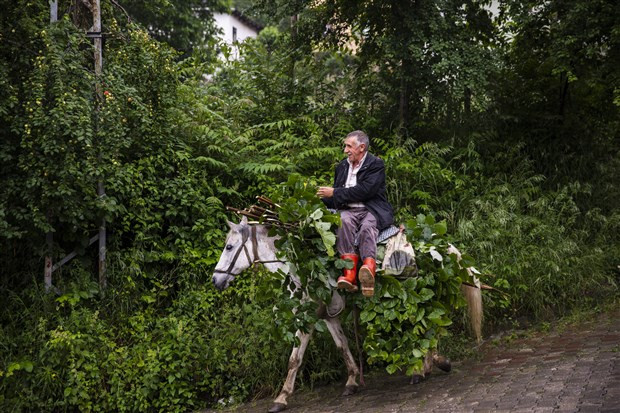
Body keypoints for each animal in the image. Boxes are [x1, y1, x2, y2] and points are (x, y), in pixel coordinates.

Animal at [213, 216, 484, 412]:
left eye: (229, 246)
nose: (216, 280)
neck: (299, 266)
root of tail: (437, 245)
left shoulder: (308, 317)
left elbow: (295, 359)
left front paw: (281, 398)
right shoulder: (328, 316)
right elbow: (342, 346)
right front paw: (352, 381)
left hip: (419, 295)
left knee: (429, 327)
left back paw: (424, 369)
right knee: (428, 329)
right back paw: (429, 366)